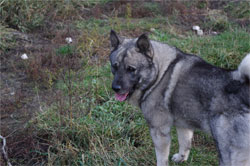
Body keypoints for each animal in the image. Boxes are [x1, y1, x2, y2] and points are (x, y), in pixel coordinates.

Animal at [109, 30, 250, 166]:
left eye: (131, 69)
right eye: (114, 66)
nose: (115, 88)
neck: (159, 74)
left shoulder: (159, 131)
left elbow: (161, 159)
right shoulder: (184, 123)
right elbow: (185, 142)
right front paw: (181, 158)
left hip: (226, 150)